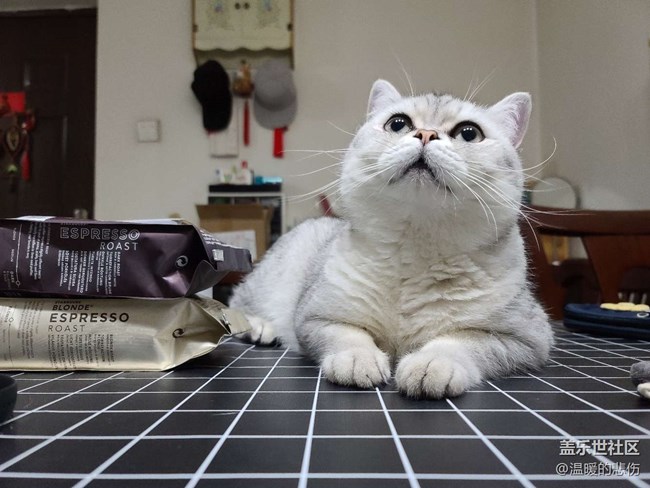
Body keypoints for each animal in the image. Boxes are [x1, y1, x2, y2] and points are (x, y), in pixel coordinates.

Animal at [229, 79, 553, 398]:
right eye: (398, 124)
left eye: (469, 133)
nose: (426, 134)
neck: (415, 248)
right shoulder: (315, 316)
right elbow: (347, 334)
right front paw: (358, 359)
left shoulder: (526, 339)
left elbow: (463, 342)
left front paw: (432, 364)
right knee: (236, 301)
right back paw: (259, 327)